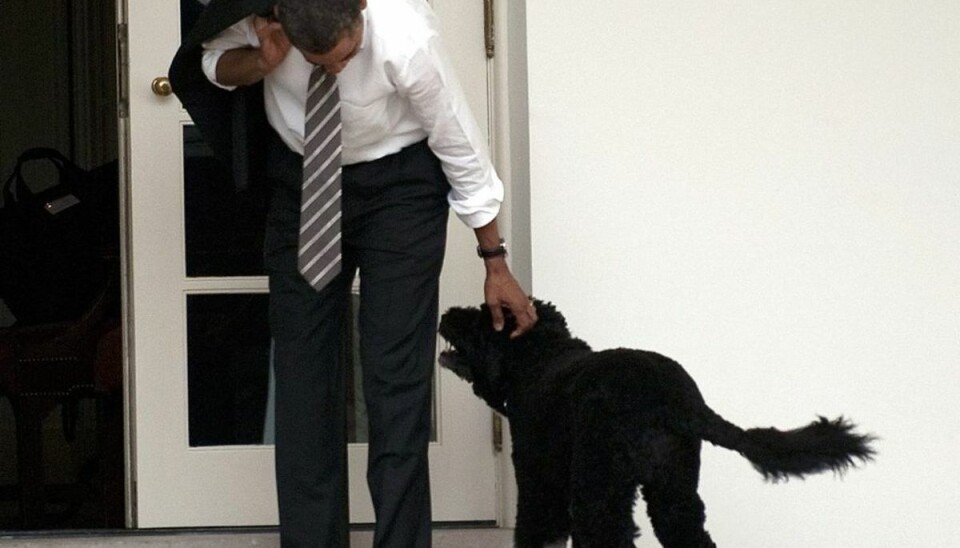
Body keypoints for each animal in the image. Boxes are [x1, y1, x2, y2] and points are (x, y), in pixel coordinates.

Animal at [438, 302, 872, 544]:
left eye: (479, 318)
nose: (445, 314)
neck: (540, 356)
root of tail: (678, 402)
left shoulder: (537, 482)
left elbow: (535, 530)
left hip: (600, 489)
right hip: (674, 489)